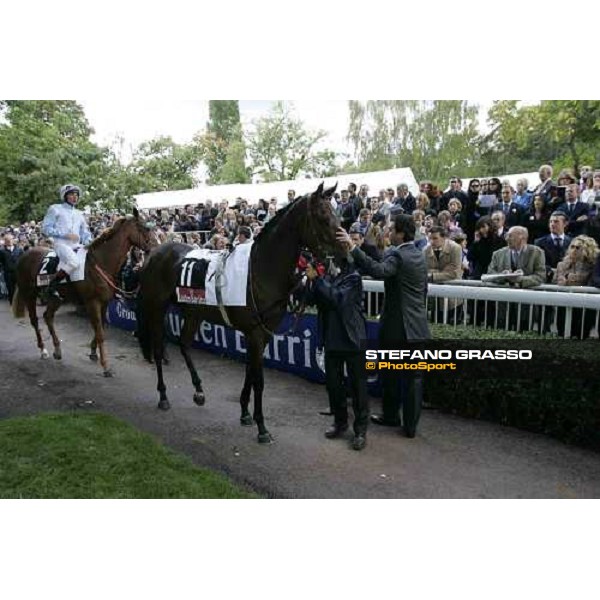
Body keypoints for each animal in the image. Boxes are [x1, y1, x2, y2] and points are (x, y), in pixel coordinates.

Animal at [13, 207, 157, 376]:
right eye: (145, 227)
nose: (157, 247)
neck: (100, 262)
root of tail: (24, 255)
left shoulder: (104, 302)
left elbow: (101, 328)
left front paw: (94, 352)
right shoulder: (92, 302)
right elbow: (100, 333)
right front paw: (105, 366)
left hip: (57, 298)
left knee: (48, 316)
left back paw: (57, 350)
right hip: (29, 293)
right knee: (35, 320)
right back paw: (43, 350)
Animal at [137, 182, 342, 440]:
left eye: (336, 213)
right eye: (323, 216)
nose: (345, 249)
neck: (261, 269)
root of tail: (153, 253)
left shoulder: (262, 333)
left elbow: (250, 372)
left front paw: (245, 413)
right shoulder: (255, 333)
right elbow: (258, 379)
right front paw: (262, 427)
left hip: (193, 312)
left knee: (184, 344)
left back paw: (199, 390)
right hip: (157, 307)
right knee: (158, 349)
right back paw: (163, 396)